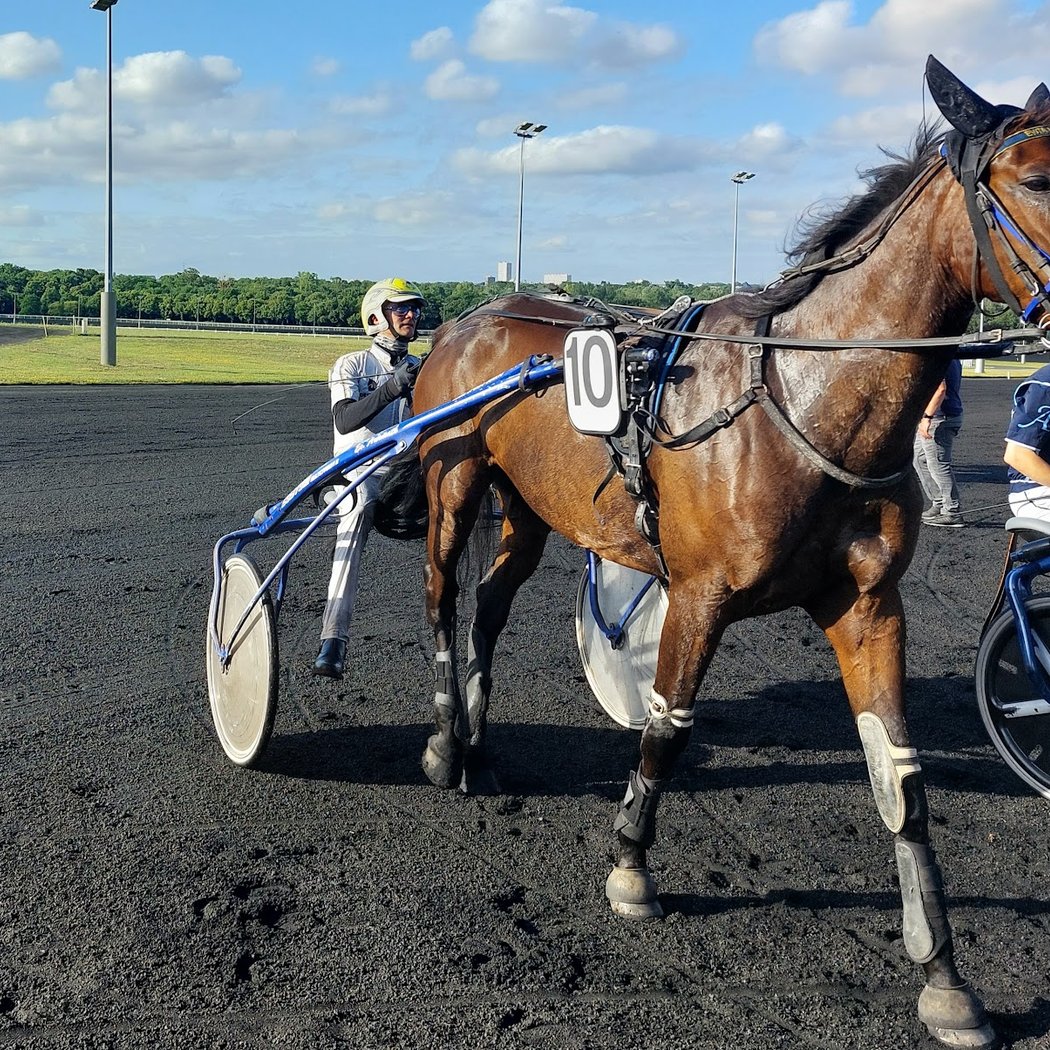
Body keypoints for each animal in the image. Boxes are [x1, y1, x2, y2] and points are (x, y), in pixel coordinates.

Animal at [398, 57, 1050, 1049]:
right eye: (1040, 180)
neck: (807, 401)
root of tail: (472, 317)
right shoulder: (699, 593)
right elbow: (667, 724)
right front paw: (631, 866)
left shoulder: (868, 604)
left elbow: (901, 778)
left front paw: (943, 976)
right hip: (455, 482)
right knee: (442, 598)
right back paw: (443, 746)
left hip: (532, 509)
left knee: (491, 608)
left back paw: (479, 743)